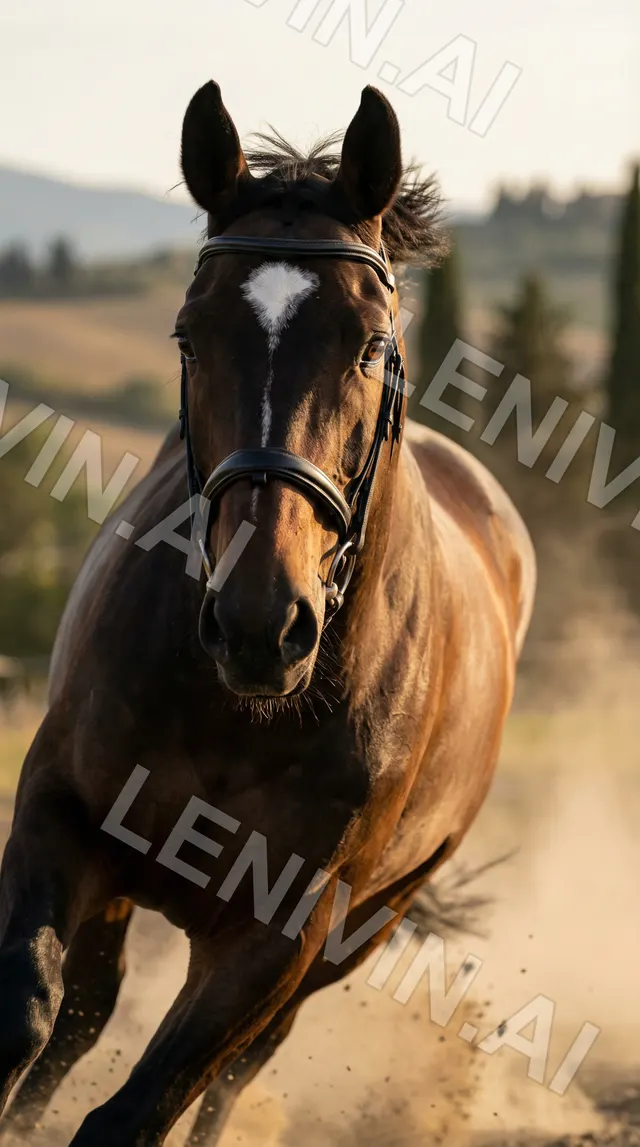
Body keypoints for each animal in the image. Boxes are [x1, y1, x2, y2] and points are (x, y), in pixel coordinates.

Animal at [0, 81, 535, 1146]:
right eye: (188, 334)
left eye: (371, 344)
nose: (259, 622)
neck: (236, 712)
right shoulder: (61, 813)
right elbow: (30, 1015)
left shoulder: (278, 933)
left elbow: (151, 1099)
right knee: (87, 1015)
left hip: (361, 929)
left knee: (240, 1070)